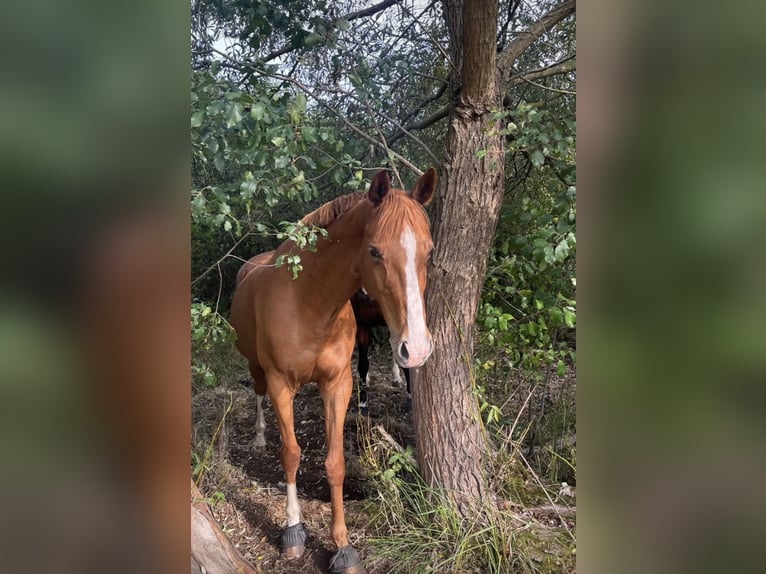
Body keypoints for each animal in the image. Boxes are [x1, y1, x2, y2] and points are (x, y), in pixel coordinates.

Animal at [229, 168, 437, 573]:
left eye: (429, 251)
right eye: (374, 251)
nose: (417, 348)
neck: (309, 301)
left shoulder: (337, 384)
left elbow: (335, 462)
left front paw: (341, 545)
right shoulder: (280, 383)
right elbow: (291, 454)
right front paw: (293, 531)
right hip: (257, 368)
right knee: (257, 394)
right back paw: (259, 436)